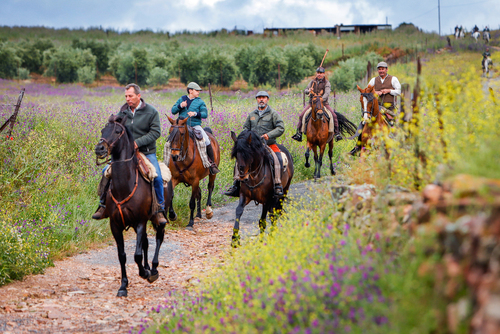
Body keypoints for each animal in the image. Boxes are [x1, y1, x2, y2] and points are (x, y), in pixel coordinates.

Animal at [95, 115, 168, 298]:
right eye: (103, 130)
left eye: (117, 131)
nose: (99, 148)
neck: (124, 185)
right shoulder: (115, 225)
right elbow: (122, 255)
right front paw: (123, 286)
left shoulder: (140, 221)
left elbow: (136, 255)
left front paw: (144, 273)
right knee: (146, 242)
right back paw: (148, 267)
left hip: (159, 218)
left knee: (159, 238)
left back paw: (153, 269)